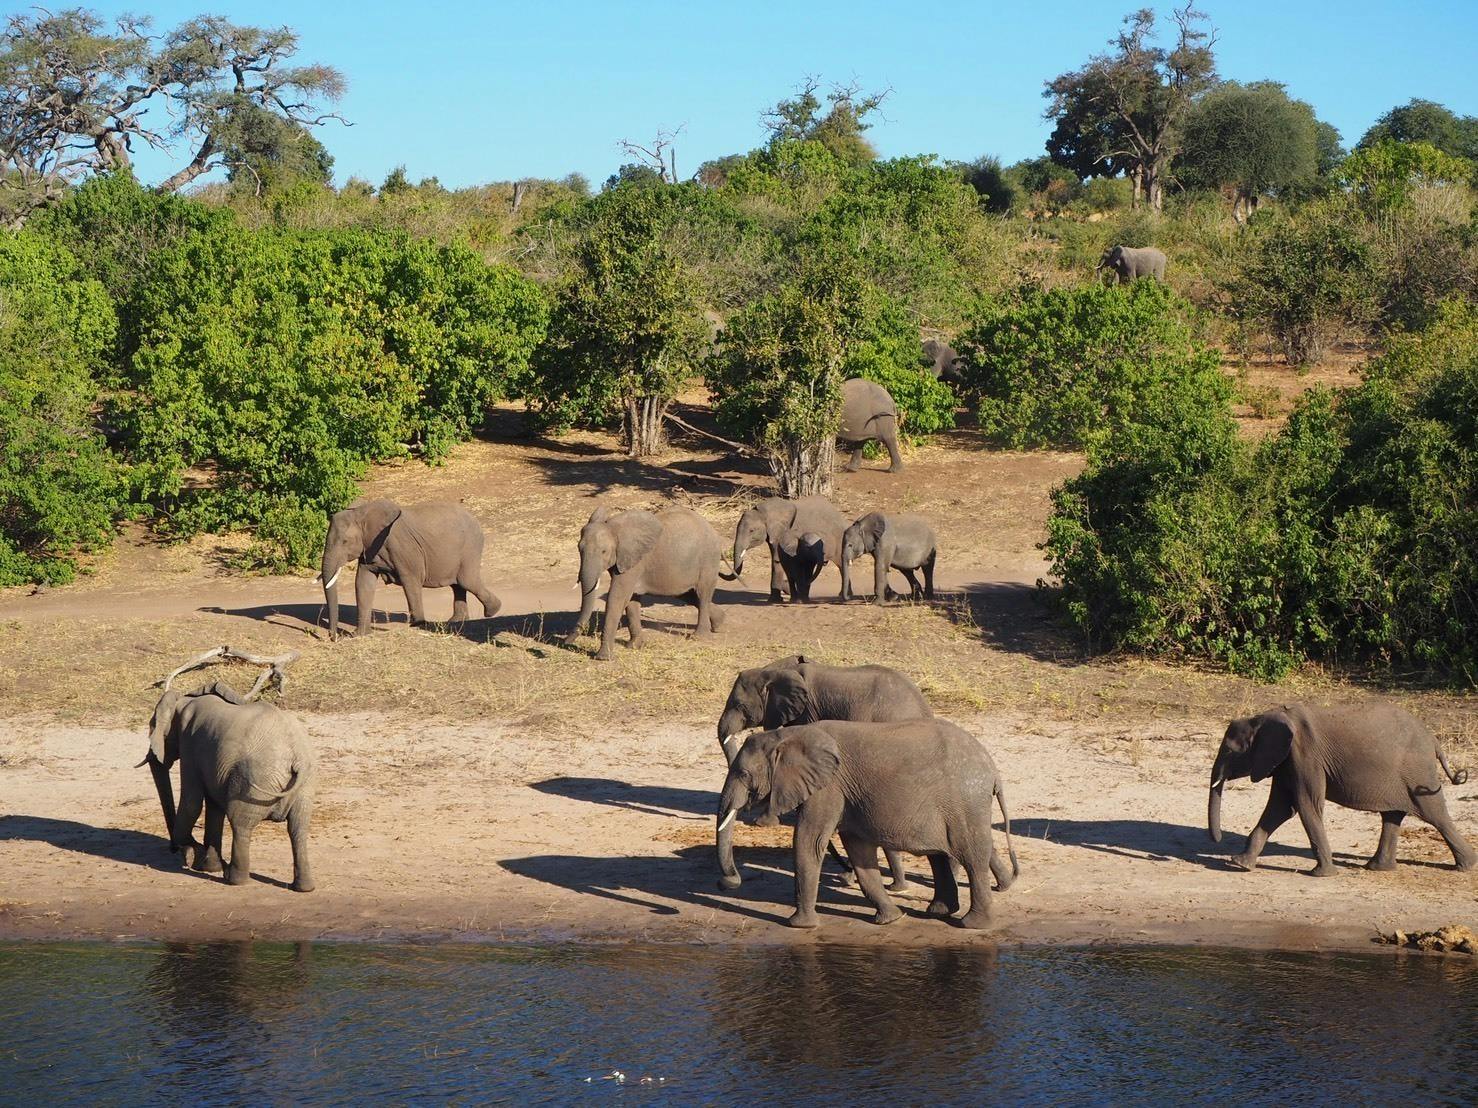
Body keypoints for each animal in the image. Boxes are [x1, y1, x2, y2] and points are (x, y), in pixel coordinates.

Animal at [139, 682, 319, 898]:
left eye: (152, 727)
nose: (175, 849)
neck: (184, 699)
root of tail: (295, 756)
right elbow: (214, 807)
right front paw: (208, 865)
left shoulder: (190, 745)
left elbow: (192, 803)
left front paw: (196, 858)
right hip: (305, 786)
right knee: (298, 828)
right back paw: (304, 888)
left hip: (254, 783)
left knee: (240, 823)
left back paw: (232, 879)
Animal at [319, 496, 499, 638]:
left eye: (345, 542)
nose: (333, 637)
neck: (362, 513)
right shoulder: (369, 549)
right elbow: (363, 583)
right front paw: (359, 635)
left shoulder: (404, 548)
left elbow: (411, 581)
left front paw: (418, 625)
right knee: (458, 585)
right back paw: (456, 621)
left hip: (470, 547)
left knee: (466, 581)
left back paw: (492, 611)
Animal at [564, 511, 727, 664]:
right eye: (579, 549)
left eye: (604, 551)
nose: (566, 642)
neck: (613, 527)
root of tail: (712, 528)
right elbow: (631, 601)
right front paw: (634, 646)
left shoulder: (634, 562)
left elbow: (617, 598)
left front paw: (603, 658)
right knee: (687, 594)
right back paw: (719, 624)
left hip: (708, 559)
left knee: (702, 594)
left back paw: (699, 637)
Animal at [715, 723, 1016, 933]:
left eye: (743, 774)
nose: (730, 882)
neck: (788, 734)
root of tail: (993, 769)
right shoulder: (846, 794)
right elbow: (858, 850)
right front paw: (891, 919)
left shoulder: (828, 787)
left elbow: (809, 841)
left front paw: (799, 926)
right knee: (939, 856)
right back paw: (938, 912)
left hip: (966, 804)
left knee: (972, 858)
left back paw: (972, 925)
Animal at [1206, 706, 1472, 880]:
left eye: (1230, 751)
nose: (1217, 840)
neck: (1263, 718)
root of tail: (1434, 740)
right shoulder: (1286, 761)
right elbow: (1280, 809)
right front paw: (1240, 864)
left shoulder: (1305, 757)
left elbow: (1306, 806)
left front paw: (1322, 875)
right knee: (1393, 816)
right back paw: (1377, 868)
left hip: (1417, 772)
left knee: (1434, 813)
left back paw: (1466, 866)